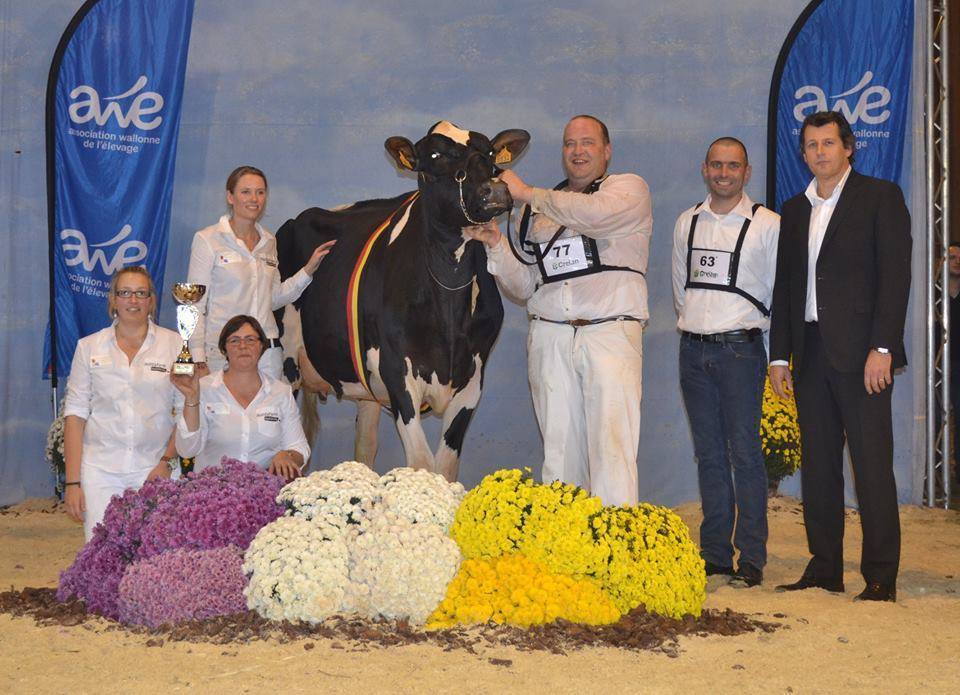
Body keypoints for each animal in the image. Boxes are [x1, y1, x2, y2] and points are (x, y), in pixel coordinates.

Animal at [276, 121, 530, 481]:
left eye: (491, 152)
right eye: (434, 155)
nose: (494, 191)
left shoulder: (472, 379)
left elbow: (446, 467)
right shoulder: (397, 371)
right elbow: (422, 462)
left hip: (365, 391)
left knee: (364, 450)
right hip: (284, 363)